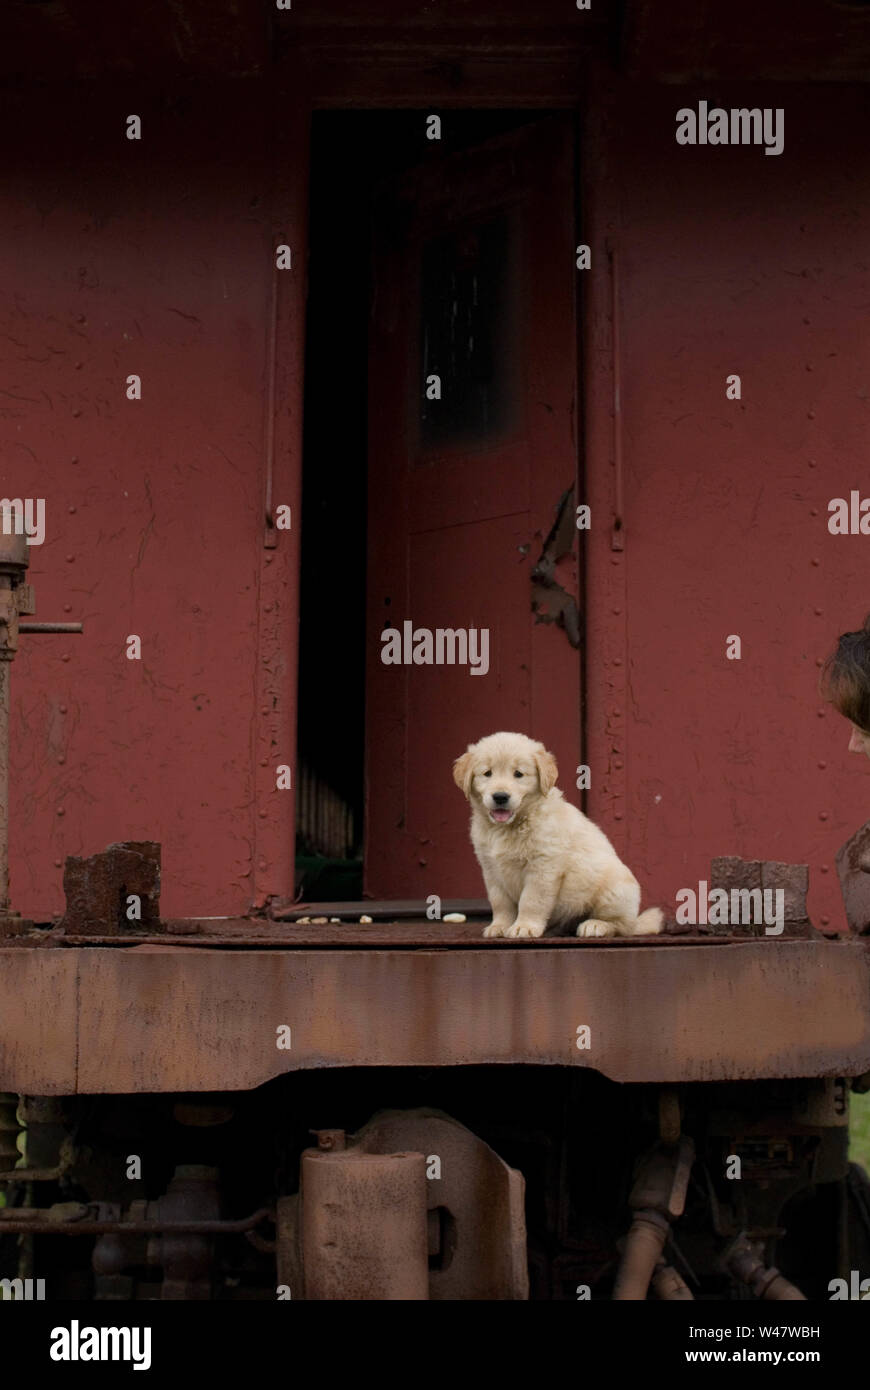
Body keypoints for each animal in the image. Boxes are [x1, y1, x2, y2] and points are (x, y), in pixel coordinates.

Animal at [450, 733, 661, 939]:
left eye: (519, 774)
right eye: (487, 773)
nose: (500, 796)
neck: (507, 827)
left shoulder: (543, 866)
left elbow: (531, 900)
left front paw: (524, 927)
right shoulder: (491, 870)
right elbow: (500, 902)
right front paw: (499, 926)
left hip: (616, 889)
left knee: (621, 926)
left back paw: (594, 925)